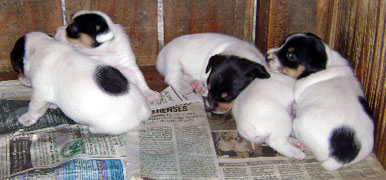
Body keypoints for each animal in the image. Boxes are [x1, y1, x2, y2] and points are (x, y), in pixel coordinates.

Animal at [10, 31, 152, 134]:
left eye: (17, 68)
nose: (18, 78)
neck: (42, 46)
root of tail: (144, 111)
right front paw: (53, 105)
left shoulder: (39, 94)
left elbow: (34, 108)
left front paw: (27, 119)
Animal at [266, 32, 374, 170]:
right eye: (282, 43)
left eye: (291, 56)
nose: (267, 55)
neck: (327, 63)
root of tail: (343, 156)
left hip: (298, 124)